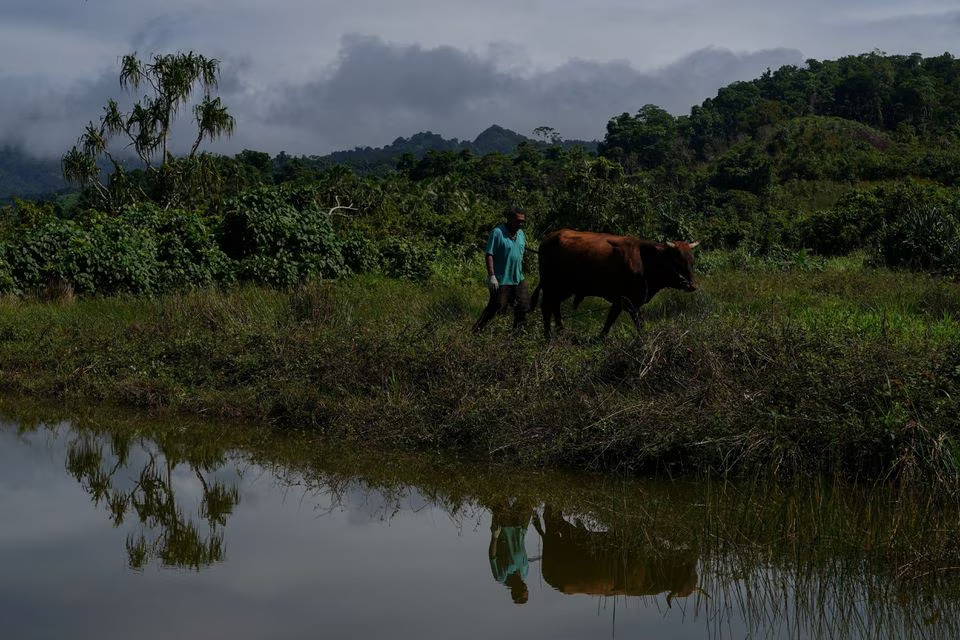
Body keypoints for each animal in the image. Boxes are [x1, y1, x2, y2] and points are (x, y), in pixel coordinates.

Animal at [528, 230, 700, 340]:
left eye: (692, 262)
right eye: (678, 263)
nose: (692, 285)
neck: (645, 260)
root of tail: (548, 238)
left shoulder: (622, 300)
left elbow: (612, 318)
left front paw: (601, 337)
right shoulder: (628, 300)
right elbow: (637, 320)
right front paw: (643, 338)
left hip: (563, 288)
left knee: (554, 306)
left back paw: (561, 331)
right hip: (552, 285)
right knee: (546, 306)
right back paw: (549, 336)